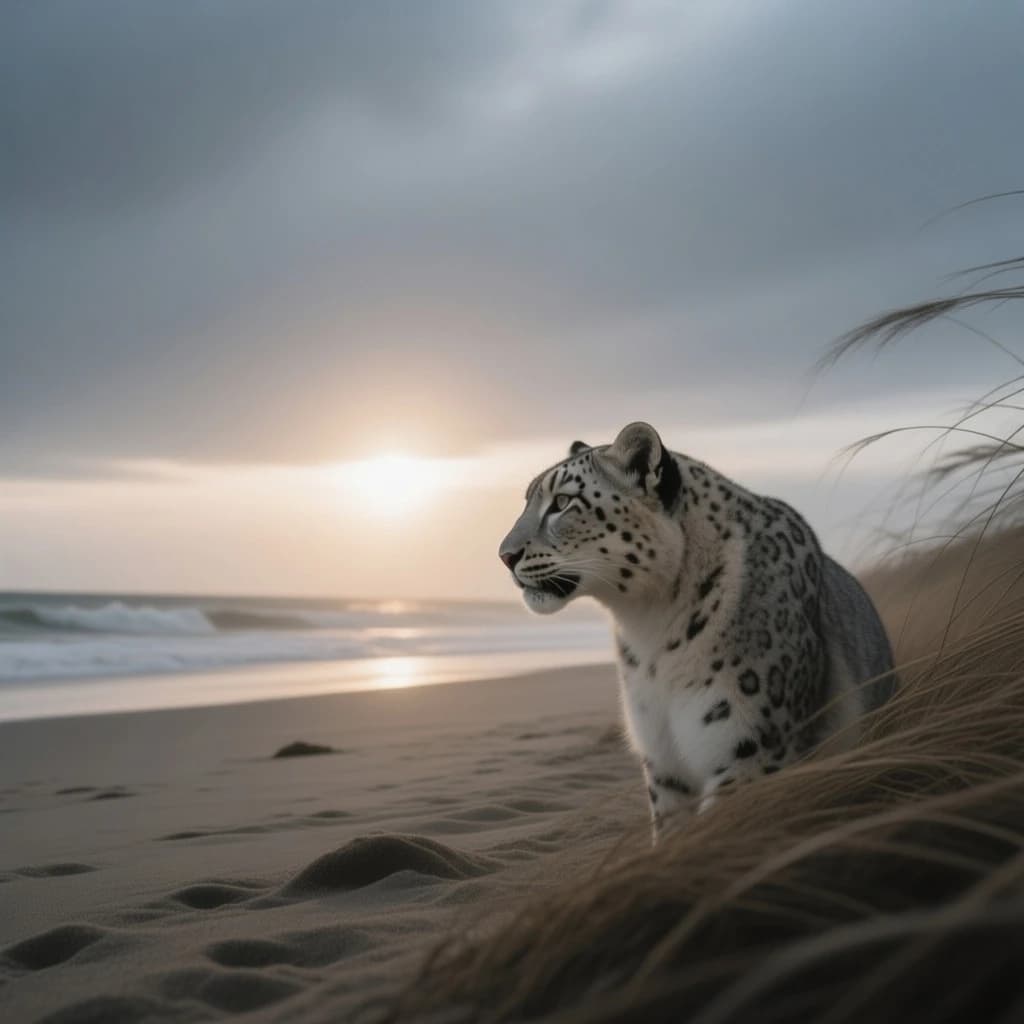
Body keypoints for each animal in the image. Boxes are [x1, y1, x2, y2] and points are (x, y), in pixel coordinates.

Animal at [499, 422, 896, 839]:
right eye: (527, 501)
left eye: (562, 502)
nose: (504, 555)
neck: (650, 631)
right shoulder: (663, 762)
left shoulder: (753, 748)